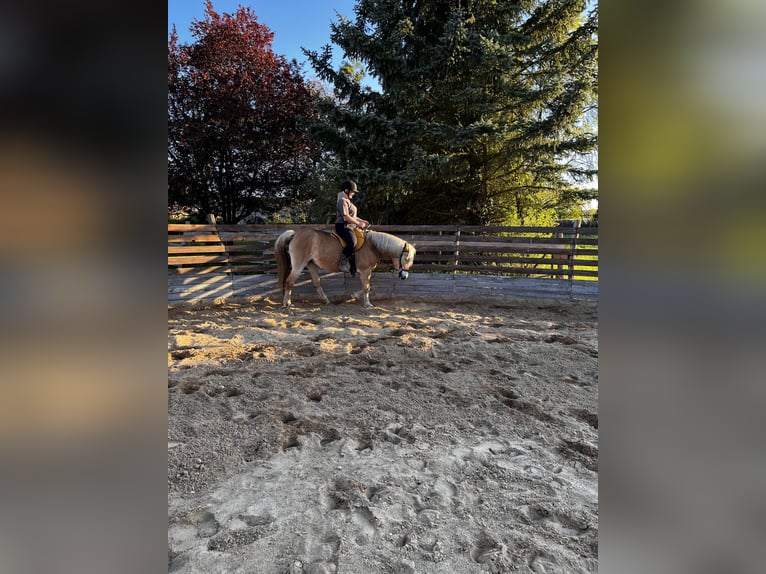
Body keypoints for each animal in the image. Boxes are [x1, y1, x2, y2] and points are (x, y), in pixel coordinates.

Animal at [274, 227, 416, 308]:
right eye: (406, 259)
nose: (404, 276)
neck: (372, 245)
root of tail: (294, 235)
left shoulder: (366, 272)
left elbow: (367, 287)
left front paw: (354, 295)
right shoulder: (365, 271)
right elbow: (367, 287)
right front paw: (367, 304)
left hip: (311, 264)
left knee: (316, 283)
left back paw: (326, 301)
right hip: (299, 264)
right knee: (289, 282)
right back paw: (286, 303)